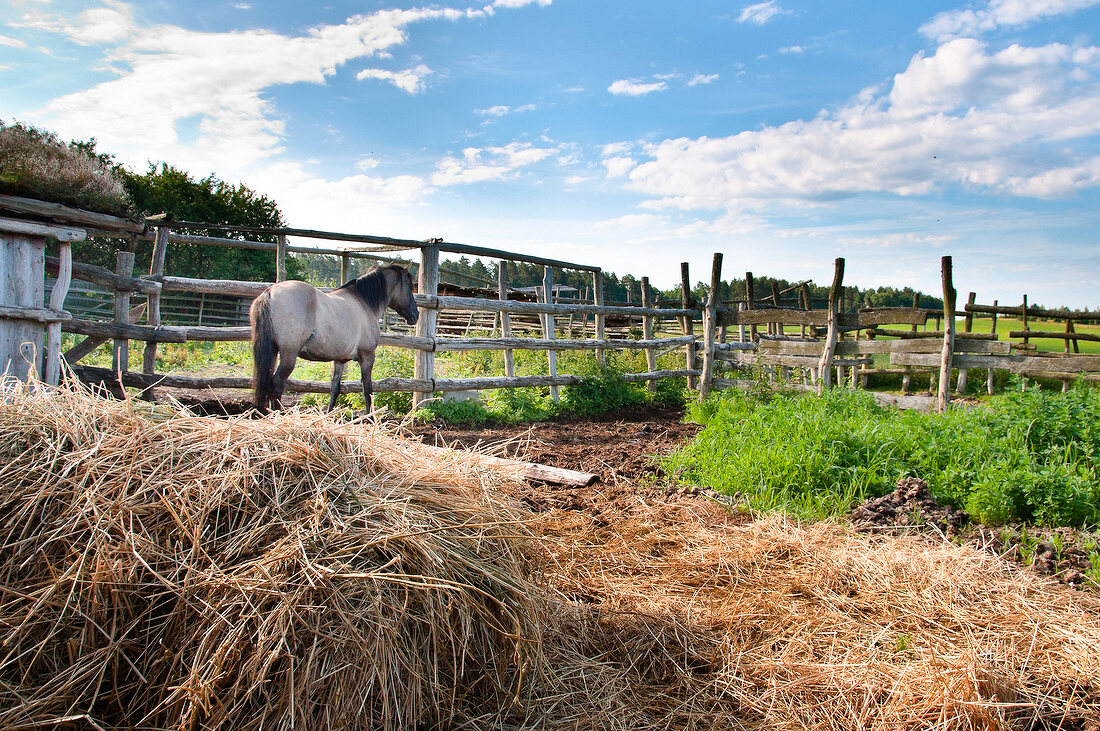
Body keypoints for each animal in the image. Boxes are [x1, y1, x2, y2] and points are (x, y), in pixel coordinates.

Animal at [251, 260, 418, 411]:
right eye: (410, 287)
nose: (415, 315)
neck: (364, 303)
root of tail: (269, 292)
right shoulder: (367, 356)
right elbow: (367, 390)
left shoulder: (339, 360)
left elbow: (335, 388)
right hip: (288, 354)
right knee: (278, 383)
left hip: (273, 351)